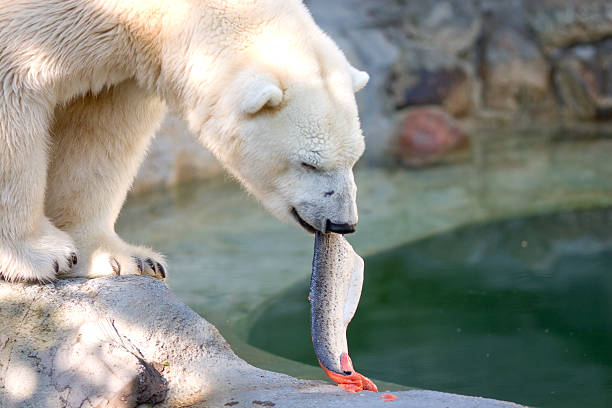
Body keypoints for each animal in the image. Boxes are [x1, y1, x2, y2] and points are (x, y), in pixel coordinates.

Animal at [0, 0, 368, 282]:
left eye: (355, 159)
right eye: (308, 163)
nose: (342, 223)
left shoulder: (116, 63)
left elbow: (100, 132)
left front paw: (122, 257)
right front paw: (40, 255)